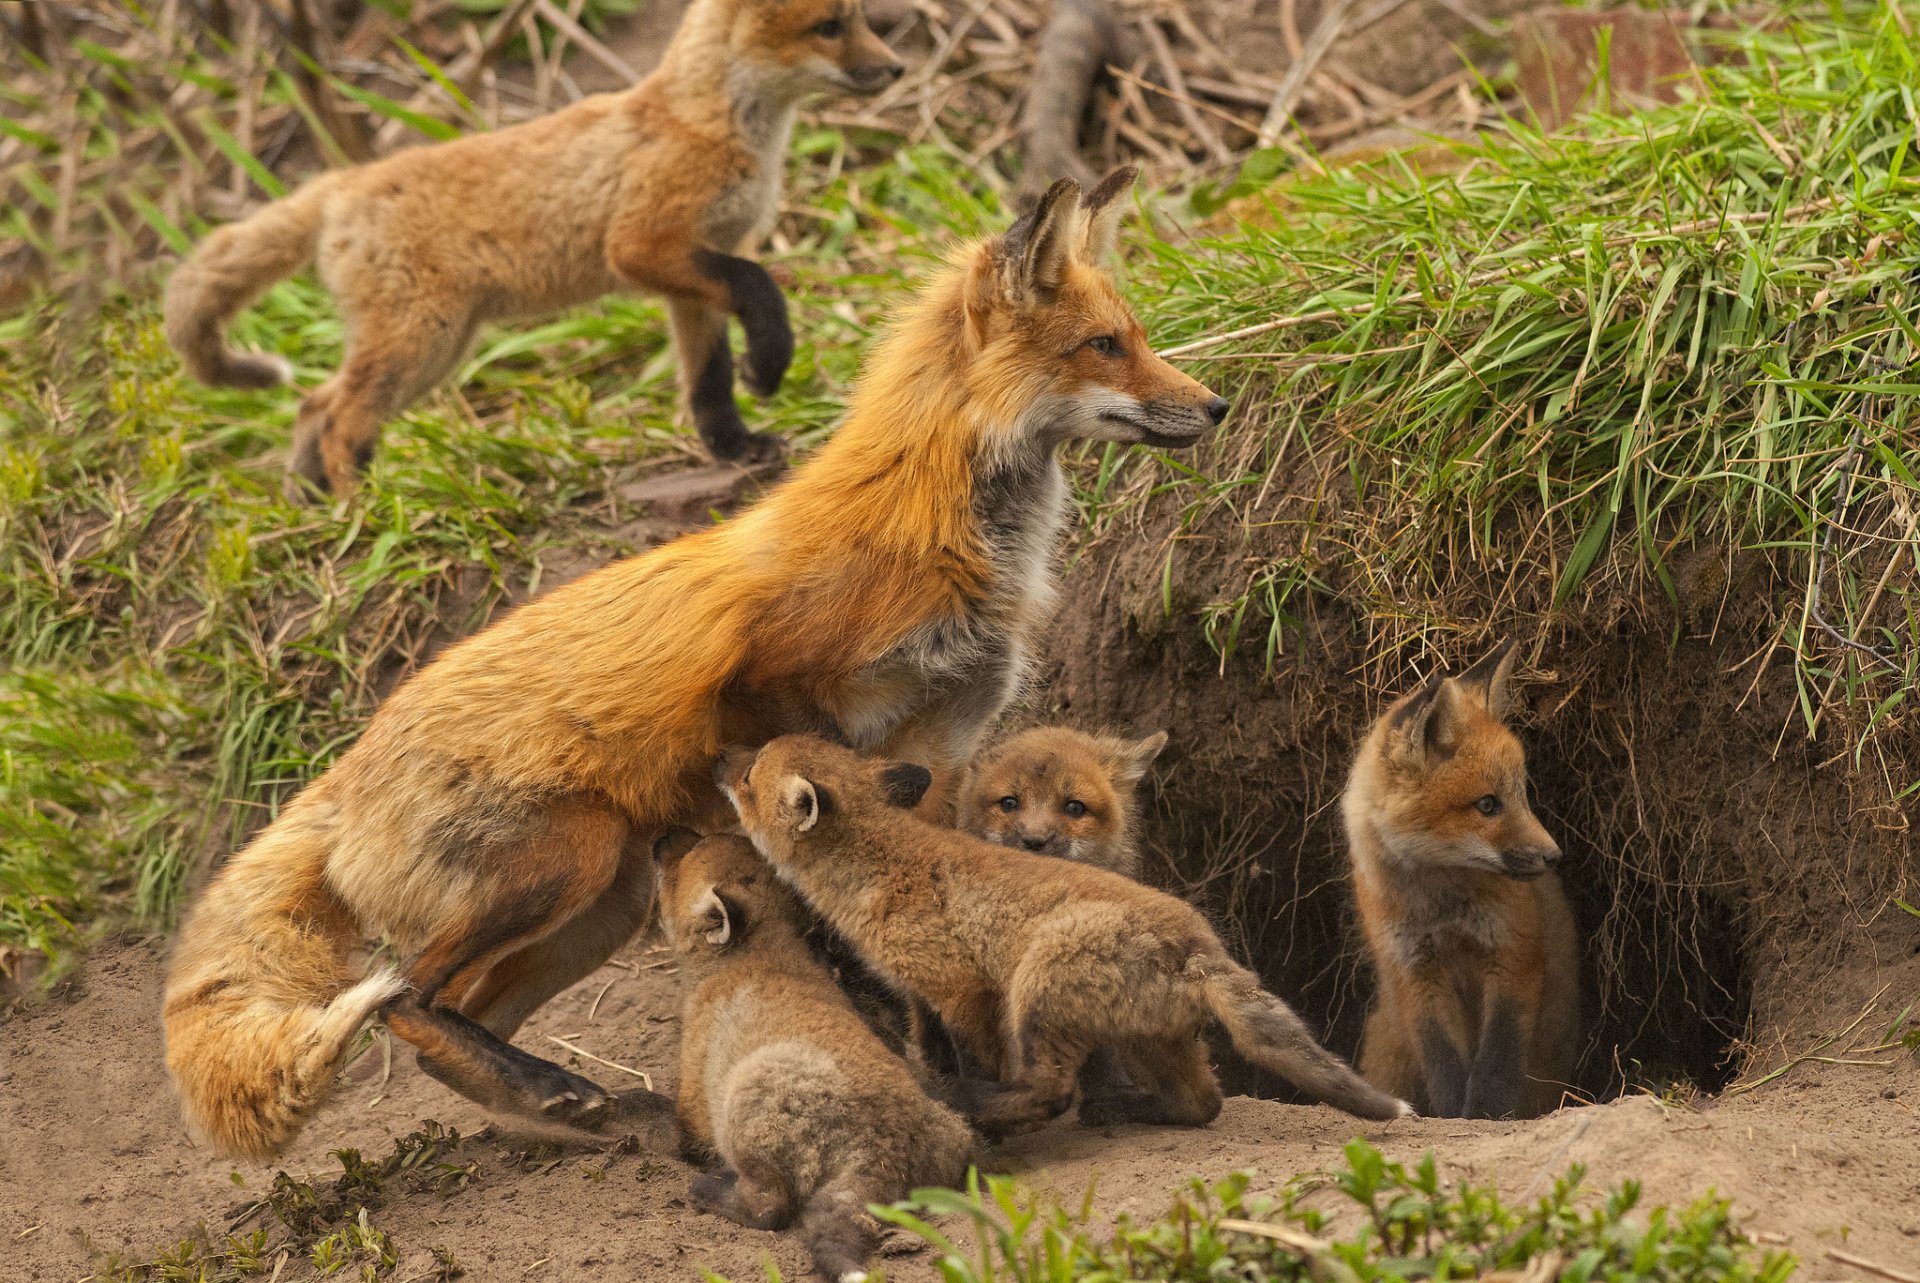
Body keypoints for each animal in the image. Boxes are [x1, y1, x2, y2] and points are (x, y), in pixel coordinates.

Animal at [163, 0, 905, 497]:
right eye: (829, 26)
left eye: (858, 18)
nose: (897, 68)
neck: (712, 125)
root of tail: (343, 182)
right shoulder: (644, 245)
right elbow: (762, 289)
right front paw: (770, 367)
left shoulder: (696, 267)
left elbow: (708, 381)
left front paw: (736, 447)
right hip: (420, 341)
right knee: (340, 417)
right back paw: (367, 506)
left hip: (438, 348)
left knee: (313, 405)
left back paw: (315, 505)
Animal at [654, 828, 976, 1282]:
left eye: (688, 853)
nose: (661, 837)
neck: (761, 951)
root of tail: (885, 1149)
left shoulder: (695, 1094)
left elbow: (676, 1130)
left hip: (747, 1102)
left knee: (769, 1207)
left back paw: (709, 1189)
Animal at [1343, 640, 1582, 1119]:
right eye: (1487, 805)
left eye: (1522, 794)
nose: (1553, 856)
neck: (1441, 906)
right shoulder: (1415, 972)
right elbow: (1445, 1063)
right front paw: (1453, 1114)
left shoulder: (1513, 954)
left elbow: (1497, 1060)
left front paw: (1487, 1115)